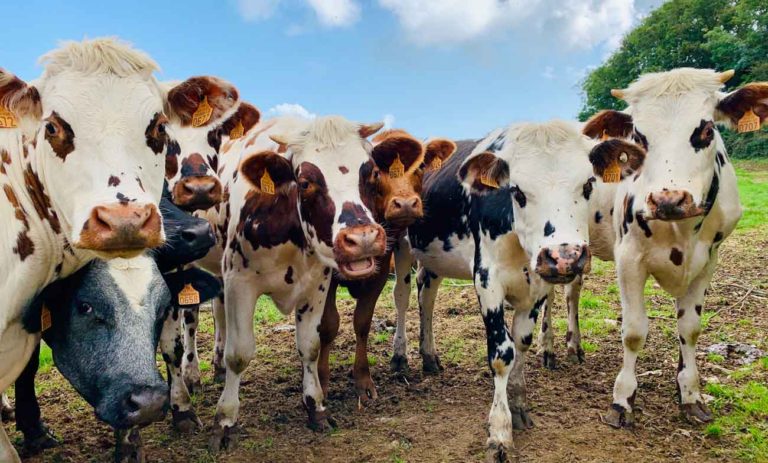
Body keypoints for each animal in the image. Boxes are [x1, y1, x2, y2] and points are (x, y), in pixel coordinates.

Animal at [7, 191, 219, 461]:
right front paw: (34, 431)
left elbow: (172, 350)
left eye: (163, 307)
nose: (200, 231)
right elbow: (27, 367)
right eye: (85, 306)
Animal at [198, 114, 387, 451]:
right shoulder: (239, 282)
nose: (363, 239)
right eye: (306, 182)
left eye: (372, 172)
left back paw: (217, 364)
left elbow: (310, 346)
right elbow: (239, 354)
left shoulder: (317, 284)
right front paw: (224, 421)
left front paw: (316, 408)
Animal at [323, 129, 456, 405]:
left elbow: (363, 321)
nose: (405, 204)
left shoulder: (383, 267)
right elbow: (329, 324)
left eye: (420, 167)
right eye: (376, 172)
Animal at [390, 120, 645, 460]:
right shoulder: (487, 280)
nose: (564, 256)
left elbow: (521, 342)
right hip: (401, 244)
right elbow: (502, 354)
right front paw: (499, 431)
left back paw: (429, 356)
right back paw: (400, 356)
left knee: (426, 295)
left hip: (433, 258)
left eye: (588, 186)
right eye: (517, 191)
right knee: (402, 296)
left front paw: (518, 403)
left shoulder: (537, 286)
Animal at [569, 68, 764, 428]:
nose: (668, 199)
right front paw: (622, 400)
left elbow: (690, 328)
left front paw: (689, 394)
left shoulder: (708, 261)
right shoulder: (628, 258)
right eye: (638, 136)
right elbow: (633, 331)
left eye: (706, 129)